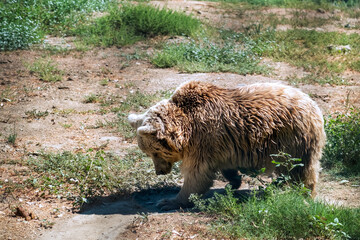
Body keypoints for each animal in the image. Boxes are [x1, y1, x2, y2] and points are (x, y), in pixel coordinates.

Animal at [129, 80, 326, 210]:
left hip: (292, 140)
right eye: (148, 153)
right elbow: (223, 166)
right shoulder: (220, 144)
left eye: (154, 153)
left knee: (299, 169)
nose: (159, 171)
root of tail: (315, 107)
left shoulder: (202, 138)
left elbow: (196, 174)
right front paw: (233, 182)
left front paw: (169, 201)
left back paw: (304, 194)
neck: (185, 128)